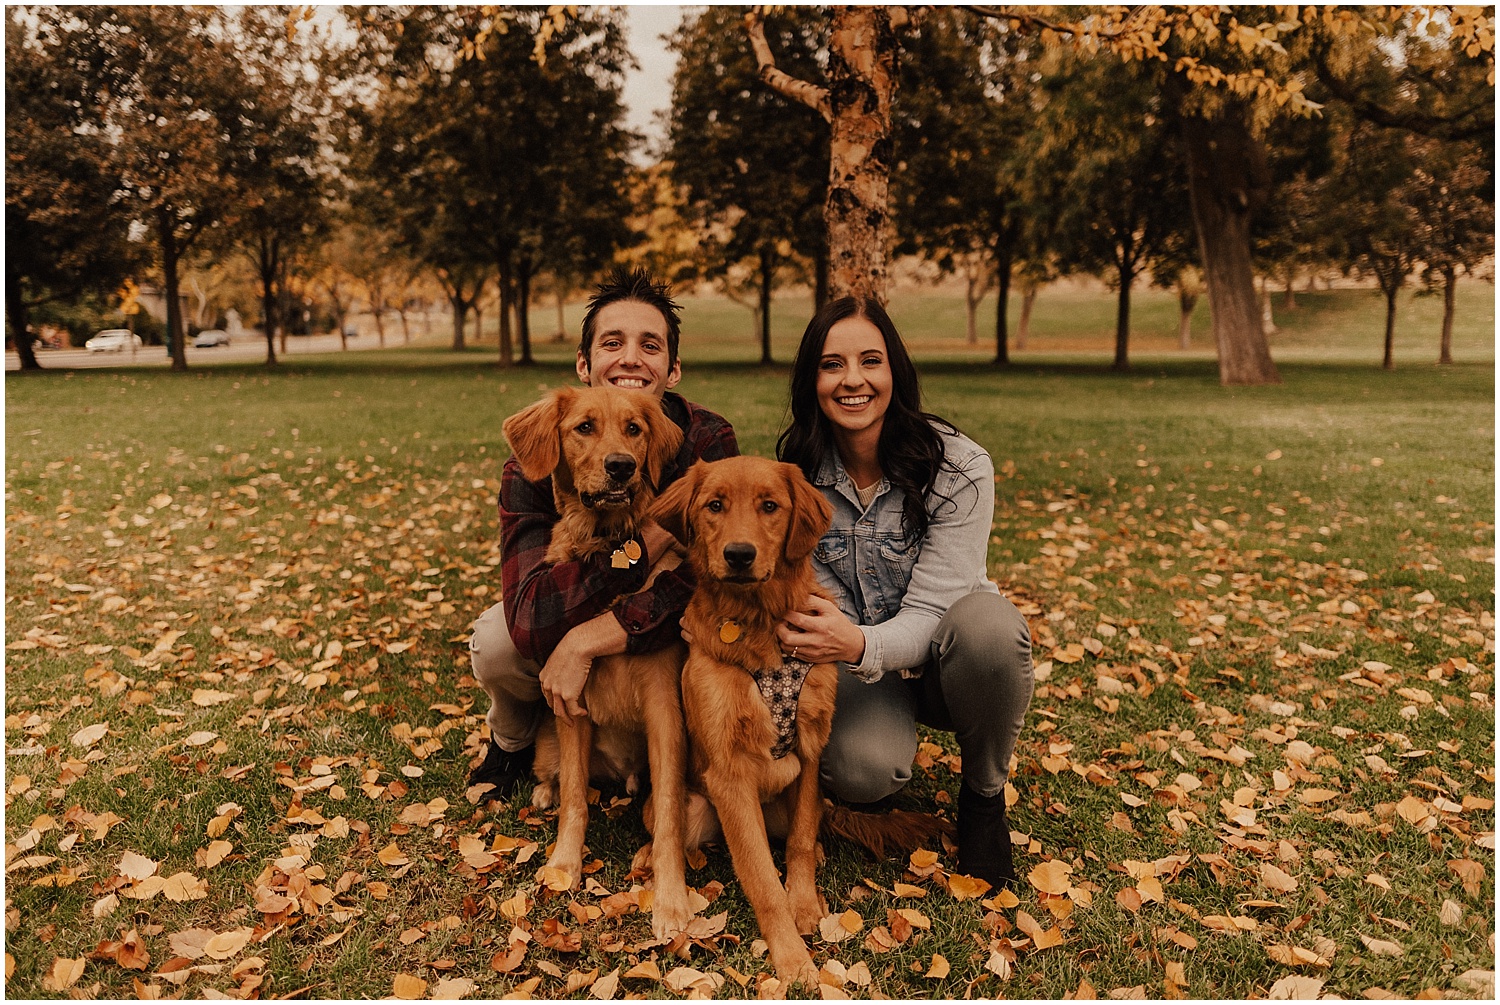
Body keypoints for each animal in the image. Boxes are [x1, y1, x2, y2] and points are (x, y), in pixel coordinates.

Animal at [501, 387, 693, 948]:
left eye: (634, 429)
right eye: (584, 427)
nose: (621, 466)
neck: (609, 545)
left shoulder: (665, 709)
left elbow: (668, 813)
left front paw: (670, 899)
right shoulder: (570, 703)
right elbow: (575, 800)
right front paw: (565, 865)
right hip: (548, 740)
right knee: (557, 777)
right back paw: (543, 790)